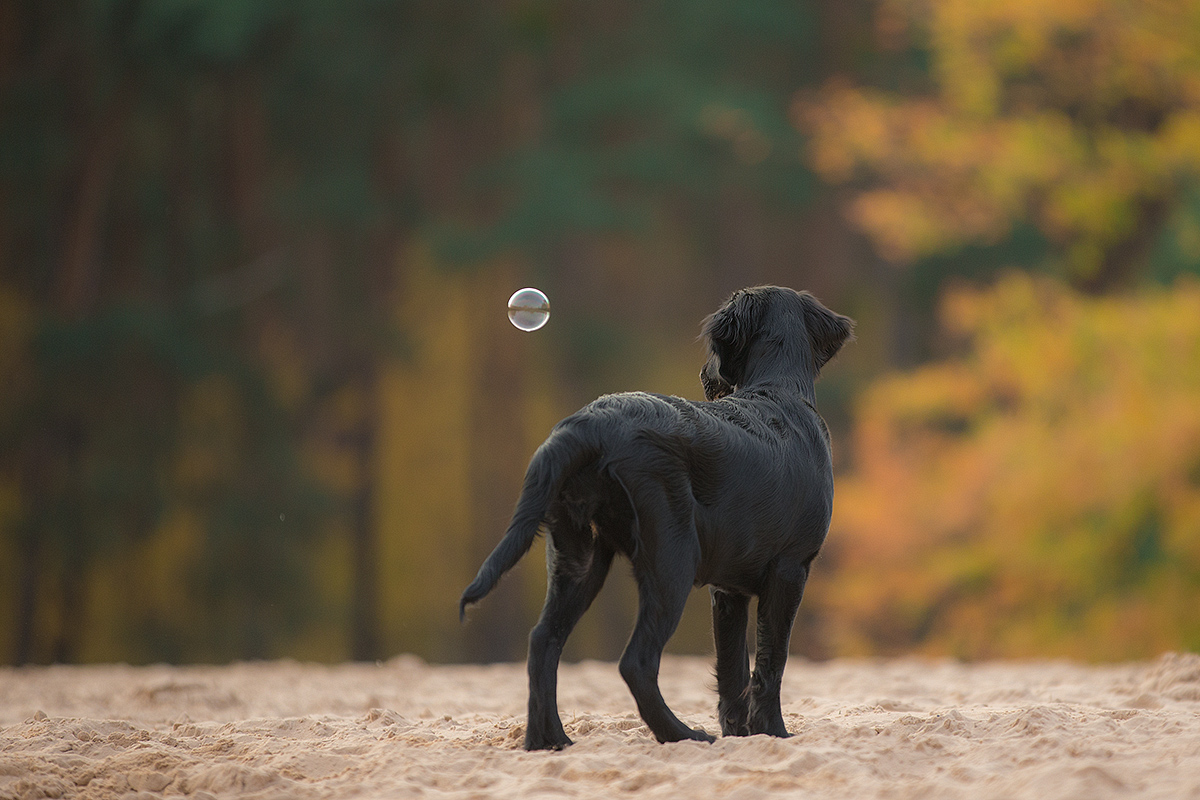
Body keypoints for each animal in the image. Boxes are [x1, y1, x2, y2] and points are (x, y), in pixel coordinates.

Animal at [458, 284, 854, 748]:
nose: (704, 374)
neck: (779, 390)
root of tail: (589, 423)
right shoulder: (790, 570)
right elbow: (771, 663)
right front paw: (774, 732)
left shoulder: (728, 590)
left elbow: (733, 669)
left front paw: (741, 735)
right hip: (672, 558)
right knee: (635, 661)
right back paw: (682, 734)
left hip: (580, 556)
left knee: (543, 642)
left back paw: (549, 740)